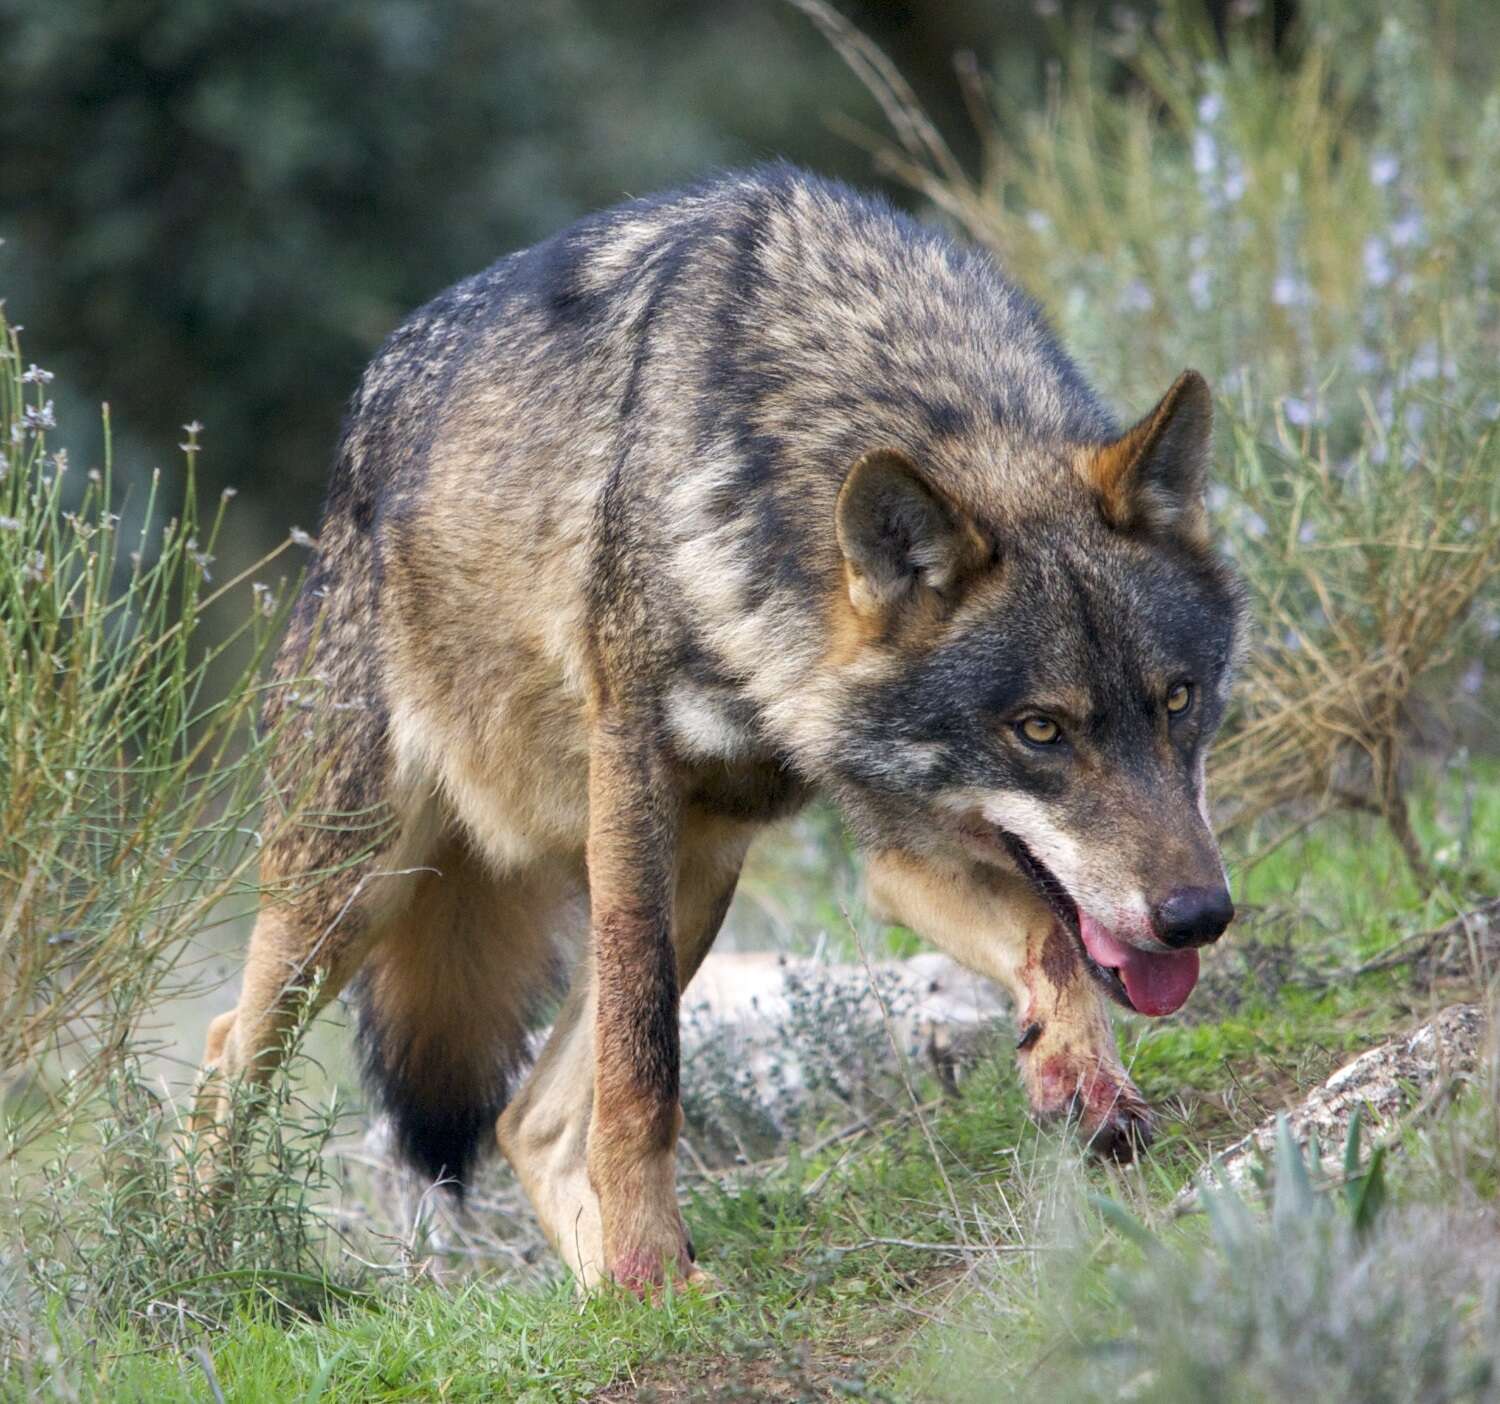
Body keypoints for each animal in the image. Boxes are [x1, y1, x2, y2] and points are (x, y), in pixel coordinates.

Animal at [196, 164, 1242, 1296]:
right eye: (1041, 729)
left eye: (1177, 700)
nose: (1198, 916)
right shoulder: (635, 775)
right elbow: (644, 1069)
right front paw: (650, 1252)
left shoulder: (899, 844)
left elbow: (1051, 941)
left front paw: (1079, 1078)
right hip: (361, 888)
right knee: (225, 1057)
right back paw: (201, 1271)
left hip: (698, 875)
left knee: (528, 1121)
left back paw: (620, 1298)